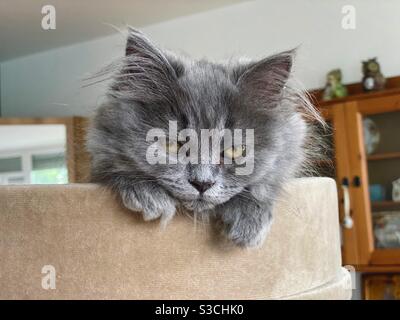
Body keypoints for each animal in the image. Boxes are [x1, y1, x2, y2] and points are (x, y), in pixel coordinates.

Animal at [86, 28, 320, 248]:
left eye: (235, 150)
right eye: (172, 145)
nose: (202, 183)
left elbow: (265, 183)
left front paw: (250, 219)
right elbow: (113, 167)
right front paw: (149, 195)